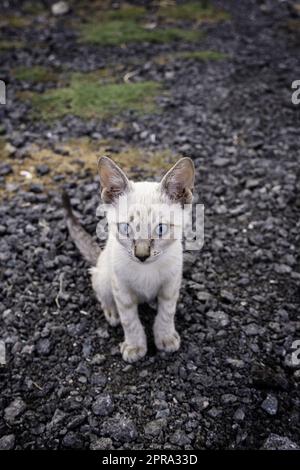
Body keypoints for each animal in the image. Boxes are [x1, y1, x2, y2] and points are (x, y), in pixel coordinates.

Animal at [63, 158, 195, 364]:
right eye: (126, 228)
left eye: (161, 229)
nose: (141, 255)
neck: (146, 271)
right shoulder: (121, 287)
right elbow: (129, 320)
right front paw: (135, 347)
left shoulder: (171, 283)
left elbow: (167, 312)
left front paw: (165, 338)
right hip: (104, 276)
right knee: (102, 294)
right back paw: (112, 314)